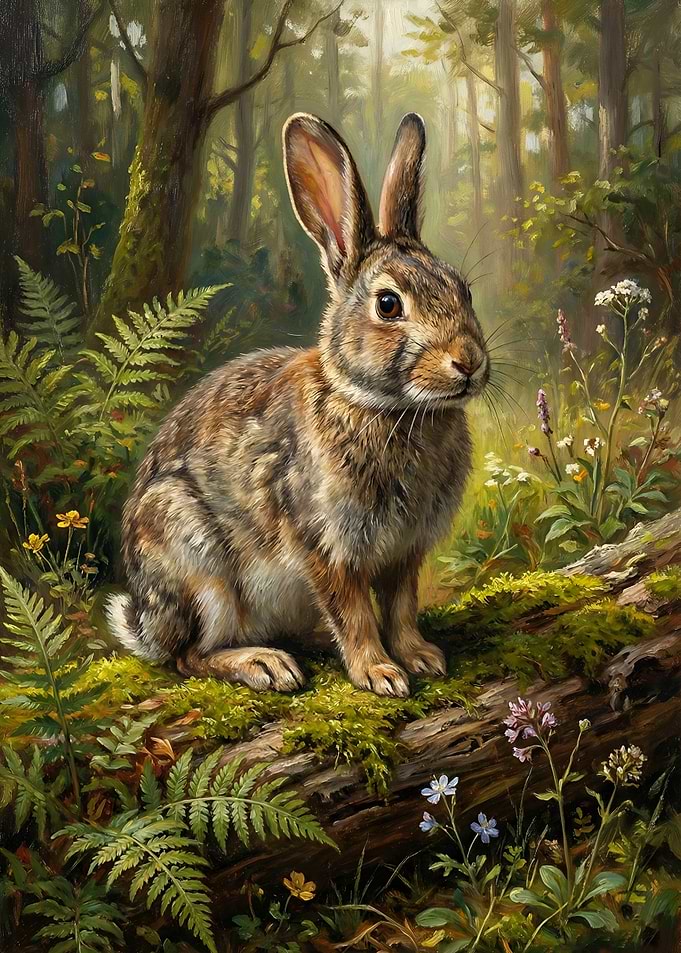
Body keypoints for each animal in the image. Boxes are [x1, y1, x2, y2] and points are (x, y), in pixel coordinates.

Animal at [106, 111, 489, 698]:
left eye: (464, 290)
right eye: (388, 304)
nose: (468, 363)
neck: (385, 406)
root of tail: (146, 622)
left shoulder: (405, 553)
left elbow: (400, 607)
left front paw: (420, 657)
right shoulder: (326, 544)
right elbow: (354, 614)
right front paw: (379, 674)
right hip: (197, 563)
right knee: (189, 656)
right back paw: (264, 665)